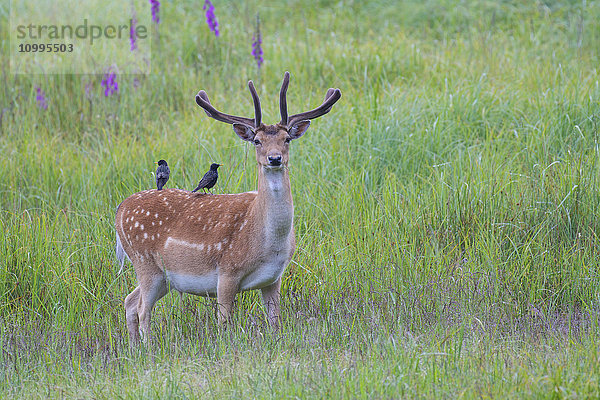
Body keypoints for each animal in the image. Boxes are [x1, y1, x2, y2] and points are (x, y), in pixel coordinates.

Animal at [115, 72, 340, 344]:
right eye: (257, 141)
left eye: (287, 139)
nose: (275, 158)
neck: (267, 242)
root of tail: (120, 209)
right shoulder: (226, 272)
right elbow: (224, 322)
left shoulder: (274, 278)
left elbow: (275, 322)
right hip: (144, 262)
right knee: (142, 309)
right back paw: (148, 348)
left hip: (163, 277)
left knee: (129, 301)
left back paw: (134, 348)